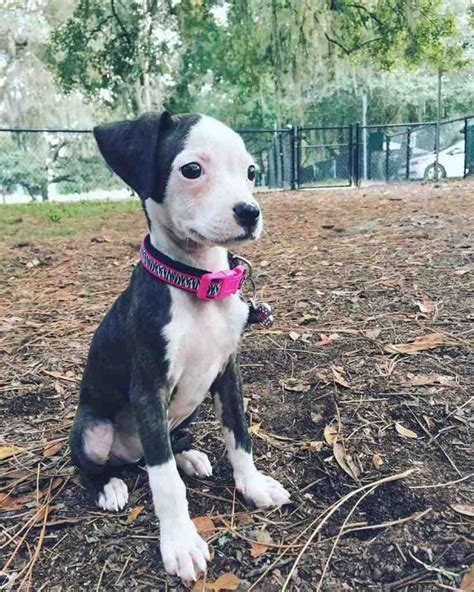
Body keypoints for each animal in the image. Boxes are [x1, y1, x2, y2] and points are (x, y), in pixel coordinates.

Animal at [69, 112, 288, 584]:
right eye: (192, 170)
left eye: (251, 171)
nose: (250, 212)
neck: (196, 282)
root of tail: (129, 457)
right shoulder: (148, 388)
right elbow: (164, 481)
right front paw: (180, 543)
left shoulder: (228, 373)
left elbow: (240, 437)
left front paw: (253, 485)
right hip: (93, 431)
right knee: (101, 463)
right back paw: (109, 486)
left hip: (184, 411)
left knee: (167, 444)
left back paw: (188, 455)